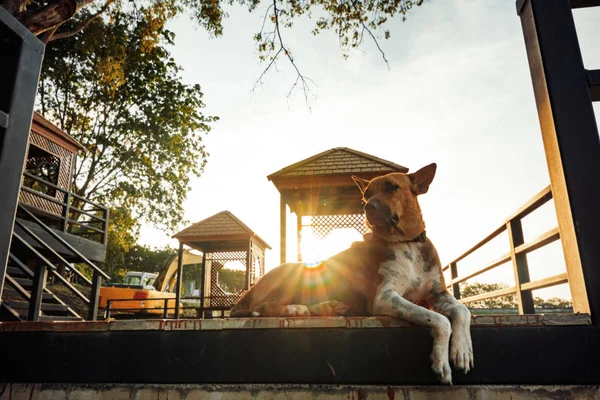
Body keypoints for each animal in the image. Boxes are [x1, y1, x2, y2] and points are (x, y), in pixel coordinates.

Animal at [230, 163, 474, 384]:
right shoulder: (384, 297)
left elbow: (462, 311)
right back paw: (295, 309)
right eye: (367, 194)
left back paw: (328, 306)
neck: (405, 242)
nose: (368, 207)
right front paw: (441, 361)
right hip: (292, 275)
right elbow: (440, 319)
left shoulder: (437, 294)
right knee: (262, 307)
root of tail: (251, 289)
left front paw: (462, 350)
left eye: (392, 187)